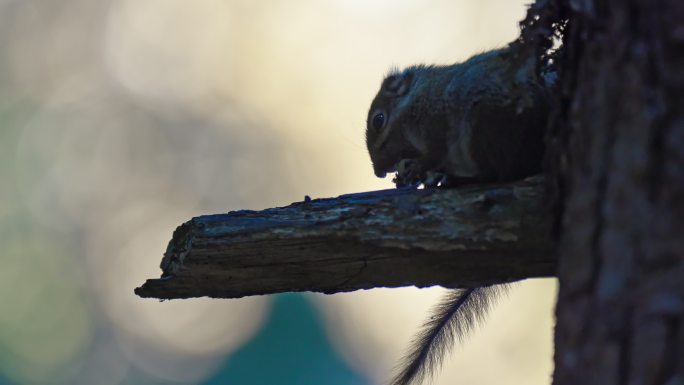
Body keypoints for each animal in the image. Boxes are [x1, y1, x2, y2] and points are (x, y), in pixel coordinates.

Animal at [366, 46, 552, 384]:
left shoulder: (434, 124)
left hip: (482, 127)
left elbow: (433, 154)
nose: (378, 171)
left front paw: (418, 169)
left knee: (496, 172)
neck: (420, 97)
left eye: (378, 120)